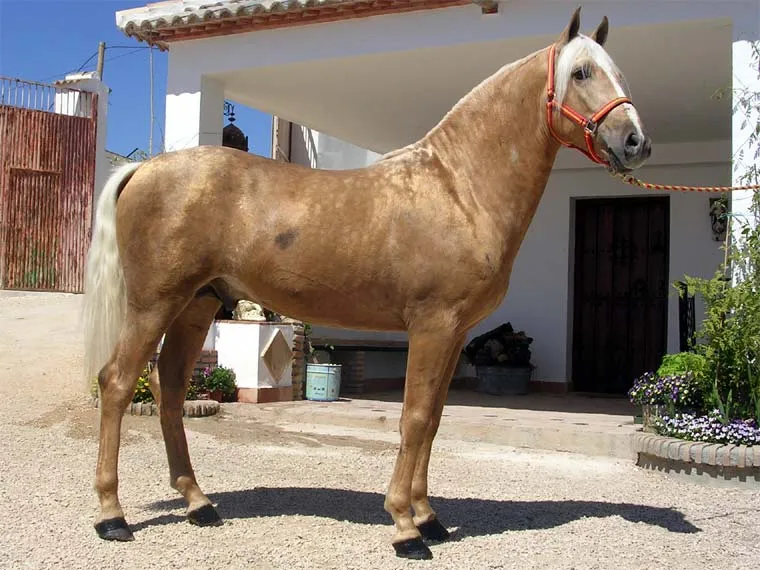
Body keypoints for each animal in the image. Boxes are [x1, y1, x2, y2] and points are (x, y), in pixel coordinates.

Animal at [84, 7, 652, 560]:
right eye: (582, 72)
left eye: (619, 72)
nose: (635, 142)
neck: (457, 188)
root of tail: (144, 170)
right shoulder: (432, 326)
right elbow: (415, 418)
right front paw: (405, 528)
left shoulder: (456, 334)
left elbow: (434, 419)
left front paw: (429, 518)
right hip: (154, 304)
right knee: (117, 383)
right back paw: (112, 517)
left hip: (197, 305)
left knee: (170, 389)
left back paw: (199, 504)